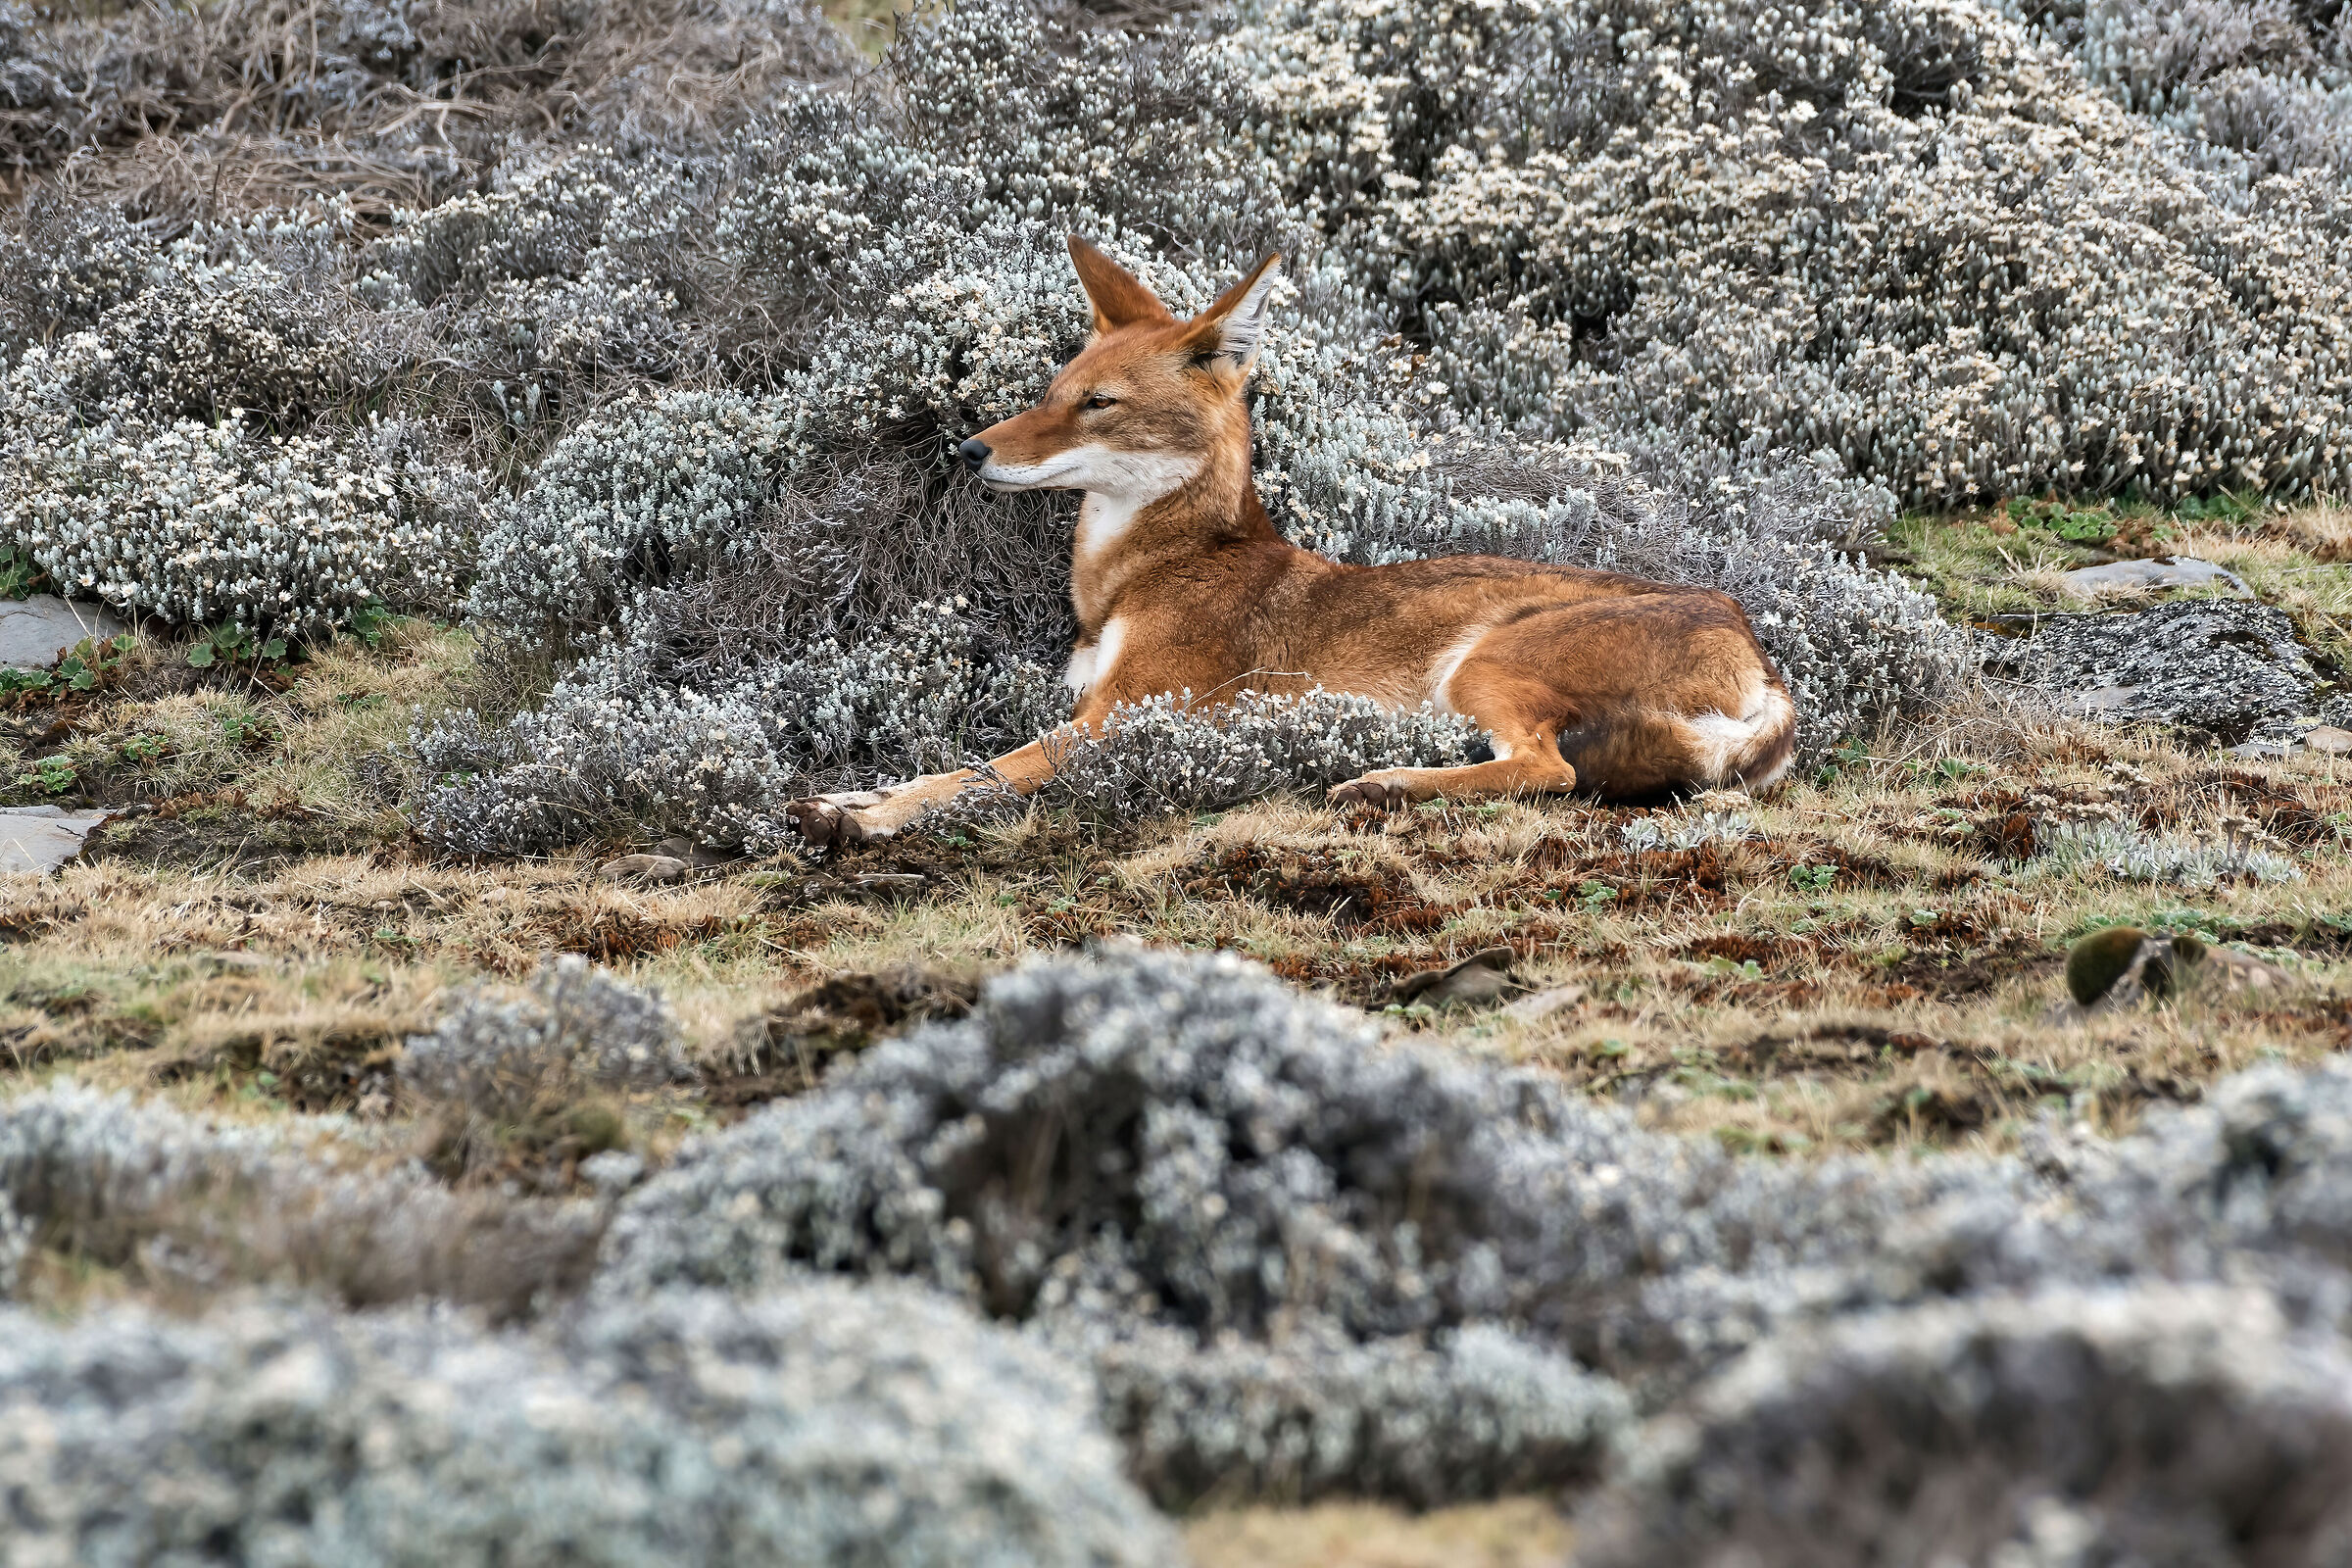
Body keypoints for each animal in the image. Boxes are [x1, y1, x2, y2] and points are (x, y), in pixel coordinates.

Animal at [786, 237, 1796, 847]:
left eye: (1098, 404)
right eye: (1050, 392)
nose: (967, 450)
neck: (1143, 574)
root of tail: (1759, 654)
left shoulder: (1114, 722)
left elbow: (971, 774)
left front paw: (863, 818)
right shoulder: (1087, 709)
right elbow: (942, 765)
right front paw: (849, 797)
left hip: (1483, 667)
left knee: (1547, 772)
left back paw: (1382, 786)